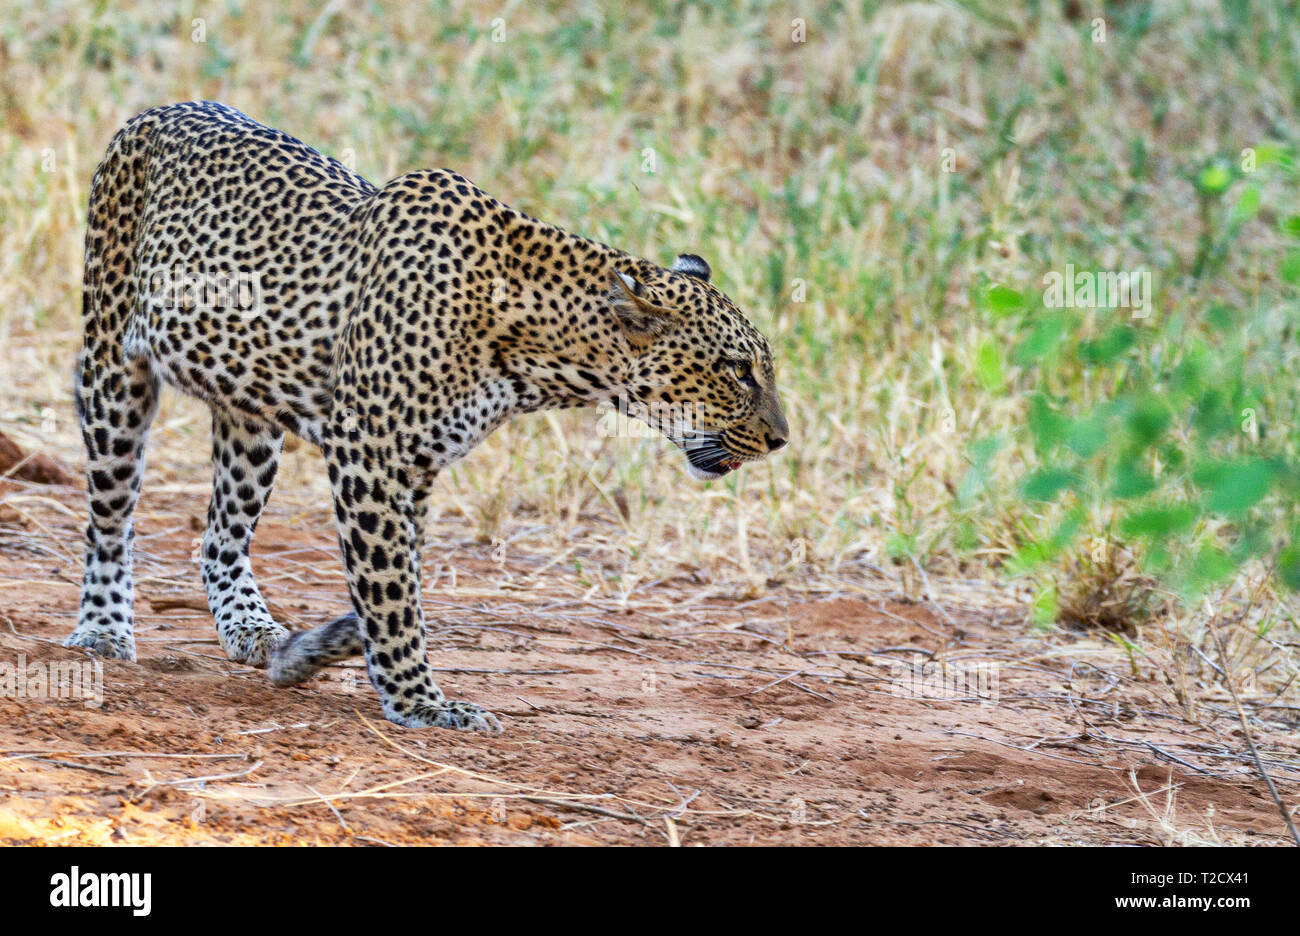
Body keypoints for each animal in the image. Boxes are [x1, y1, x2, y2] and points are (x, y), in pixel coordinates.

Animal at [64, 101, 788, 732]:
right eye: (737, 369)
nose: (781, 439)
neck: (540, 356)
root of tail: (155, 111)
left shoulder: (416, 468)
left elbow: (395, 578)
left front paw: (321, 648)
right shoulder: (369, 456)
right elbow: (391, 591)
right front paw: (421, 701)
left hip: (251, 418)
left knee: (221, 533)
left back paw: (252, 628)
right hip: (112, 370)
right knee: (109, 519)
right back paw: (102, 629)